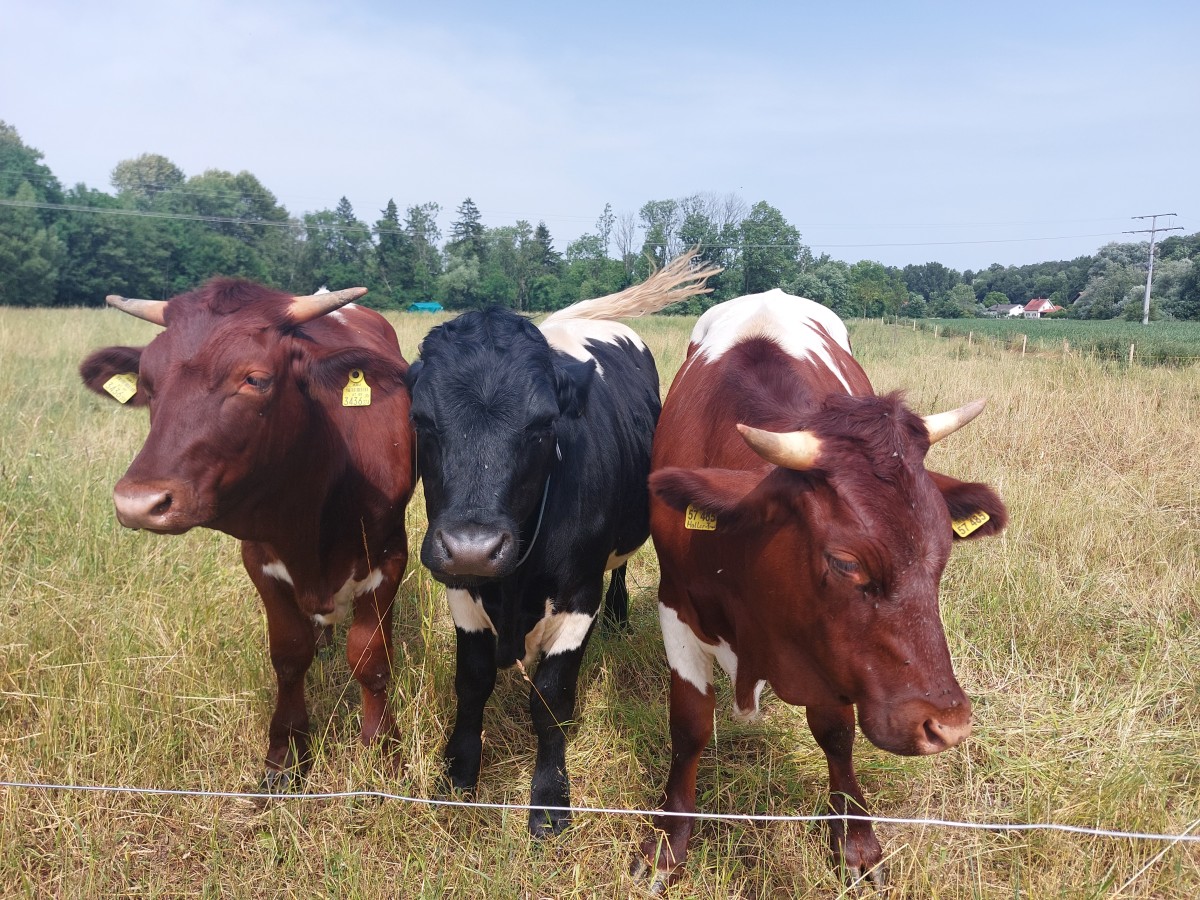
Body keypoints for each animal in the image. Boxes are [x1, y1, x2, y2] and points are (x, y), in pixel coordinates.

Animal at [78, 277, 417, 787]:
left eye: (254, 379)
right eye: (148, 385)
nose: (138, 502)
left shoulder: (390, 554)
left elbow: (371, 657)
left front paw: (383, 751)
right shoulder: (260, 559)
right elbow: (289, 655)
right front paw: (285, 756)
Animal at [633, 289, 1008, 888]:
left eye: (942, 555)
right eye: (844, 561)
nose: (948, 726)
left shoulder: (831, 651)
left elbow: (835, 731)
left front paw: (855, 843)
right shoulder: (678, 606)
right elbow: (689, 724)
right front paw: (668, 843)